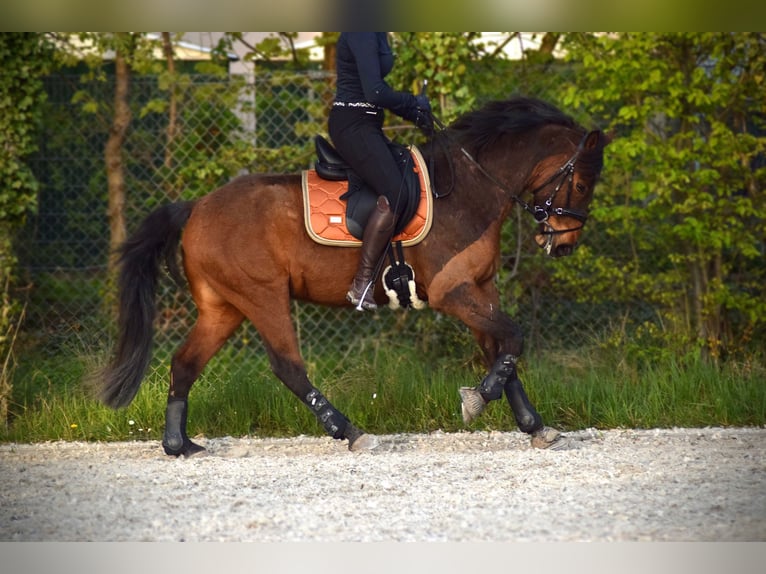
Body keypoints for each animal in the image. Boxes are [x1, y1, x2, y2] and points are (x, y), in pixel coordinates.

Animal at [96, 97, 612, 456]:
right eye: (582, 183)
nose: (564, 243)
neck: (468, 190)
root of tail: (196, 206)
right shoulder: (453, 293)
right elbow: (513, 339)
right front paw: (478, 399)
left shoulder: (480, 290)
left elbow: (504, 352)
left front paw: (534, 426)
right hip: (263, 297)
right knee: (288, 367)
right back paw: (352, 432)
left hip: (224, 307)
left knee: (185, 364)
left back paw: (178, 445)